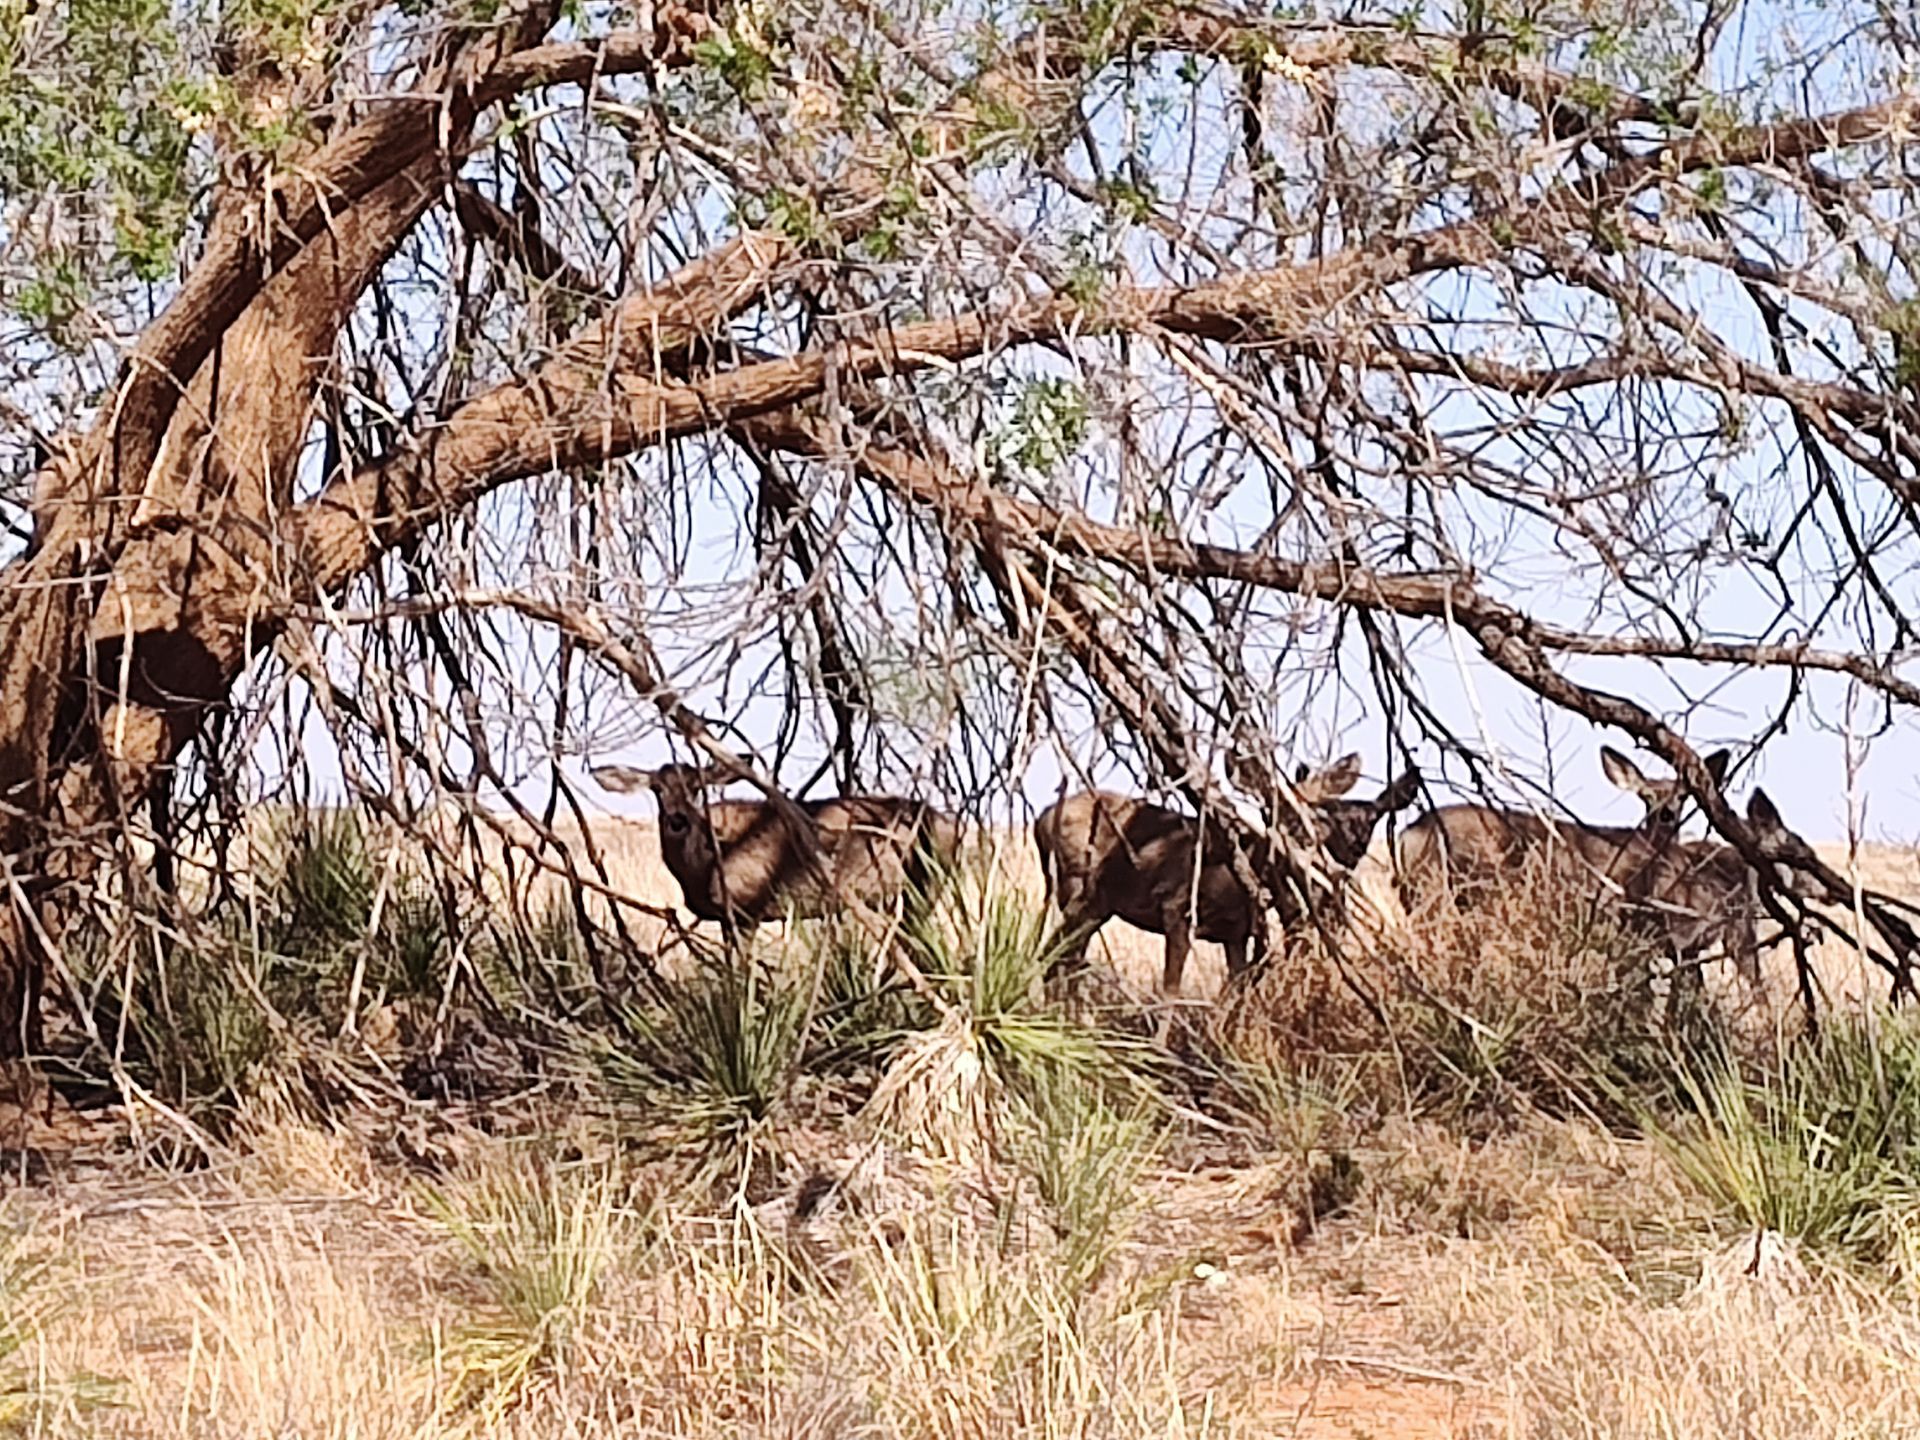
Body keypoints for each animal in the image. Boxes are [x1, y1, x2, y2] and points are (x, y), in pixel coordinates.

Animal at [595, 768, 967, 936]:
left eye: (697, 785)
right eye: (657, 788)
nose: (677, 819)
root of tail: (952, 825)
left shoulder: (747, 908)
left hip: (924, 886)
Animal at [1036, 760, 1428, 998]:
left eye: (1371, 820)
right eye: (1273, 812)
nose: (1344, 851)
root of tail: (1041, 819)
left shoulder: (1236, 935)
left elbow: (1235, 995)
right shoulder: (1178, 910)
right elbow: (1170, 996)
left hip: (1094, 906)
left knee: (1061, 963)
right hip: (1079, 893)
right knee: (1055, 961)